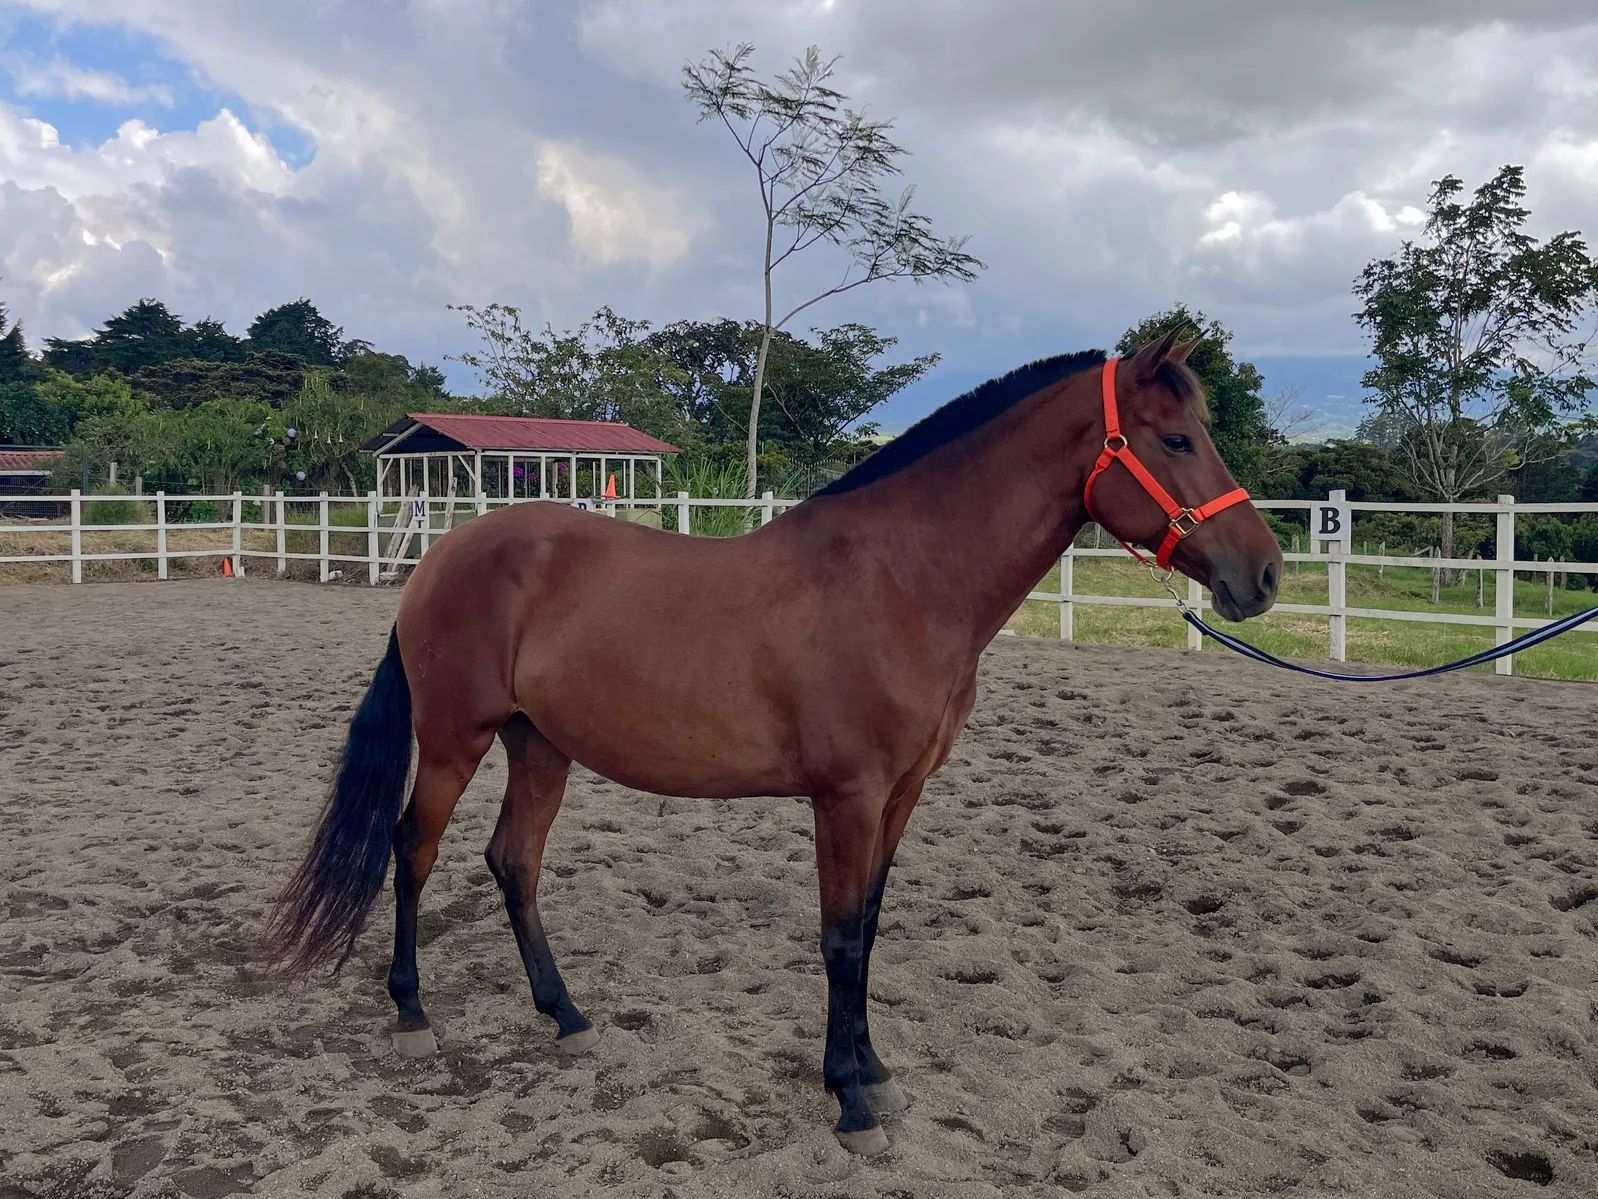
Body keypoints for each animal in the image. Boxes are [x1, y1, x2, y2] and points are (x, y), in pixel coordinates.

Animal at [259, 328, 1283, 1155]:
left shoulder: (901, 794)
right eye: (1176, 438)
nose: (1265, 574)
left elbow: (868, 928)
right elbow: (838, 937)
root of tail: (439, 555)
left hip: (539, 746)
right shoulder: (848, 796)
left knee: (513, 861)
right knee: (413, 851)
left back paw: (567, 1015)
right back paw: (413, 1013)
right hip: (454, 739)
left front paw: (875, 1073)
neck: (902, 580)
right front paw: (851, 1102)